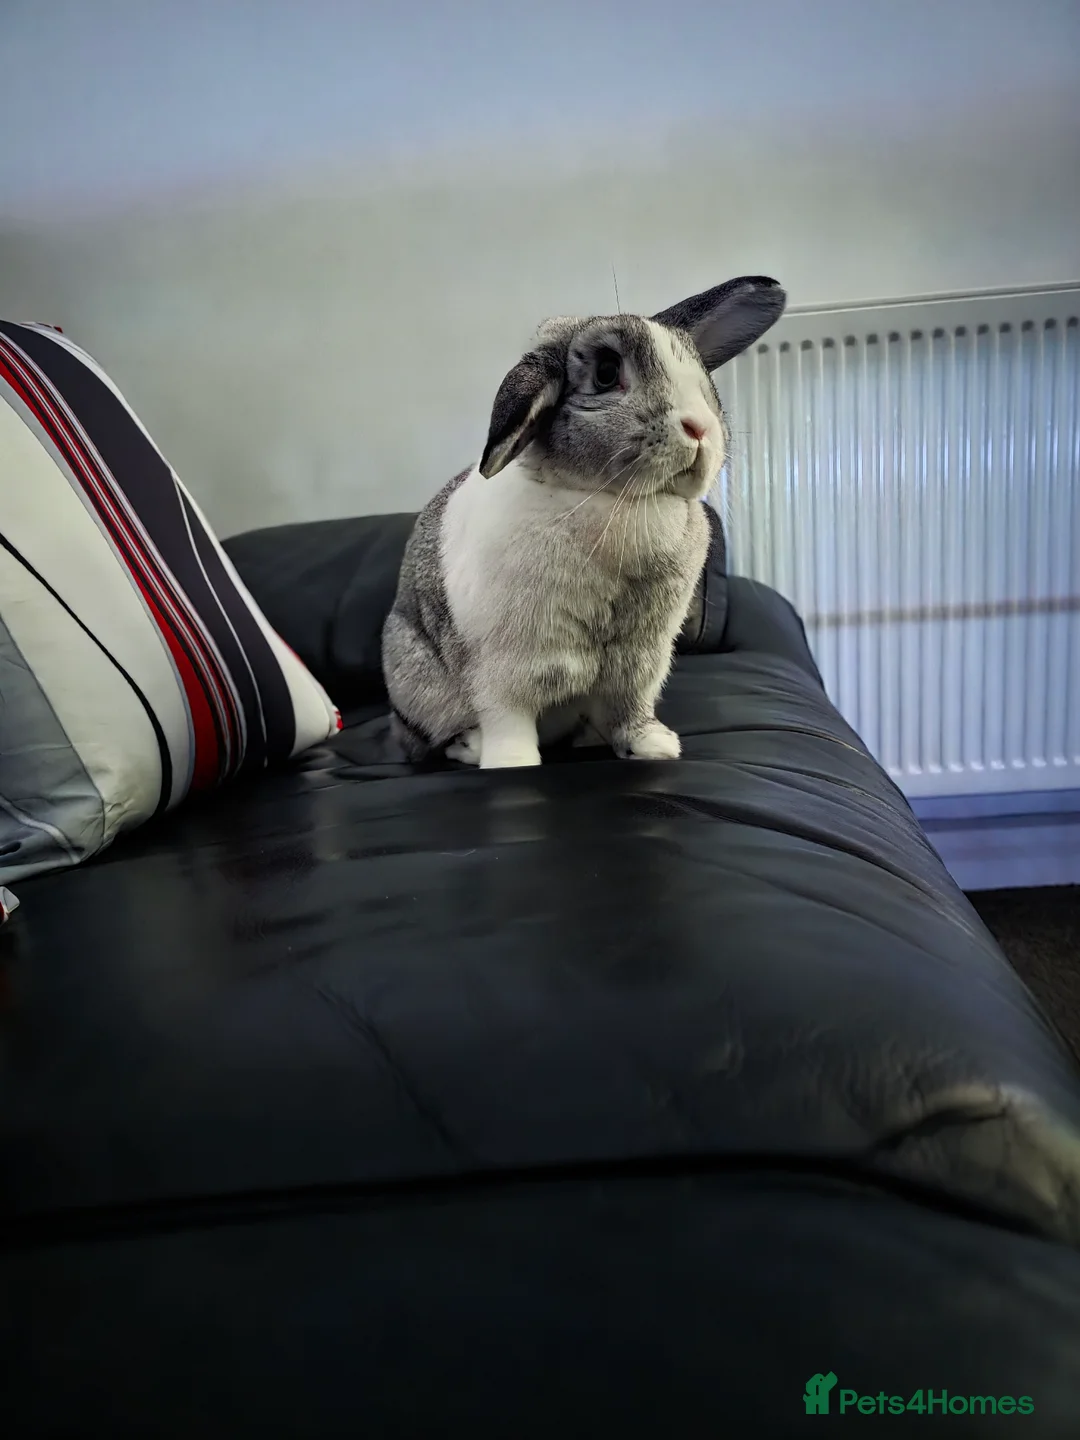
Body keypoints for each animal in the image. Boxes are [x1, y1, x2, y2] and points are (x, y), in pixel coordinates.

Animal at [382, 274, 786, 769]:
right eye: (607, 373)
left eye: (699, 371)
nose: (700, 428)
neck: (612, 498)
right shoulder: (502, 673)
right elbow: (508, 720)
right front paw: (512, 763)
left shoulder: (639, 664)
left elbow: (629, 708)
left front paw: (653, 746)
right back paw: (471, 748)